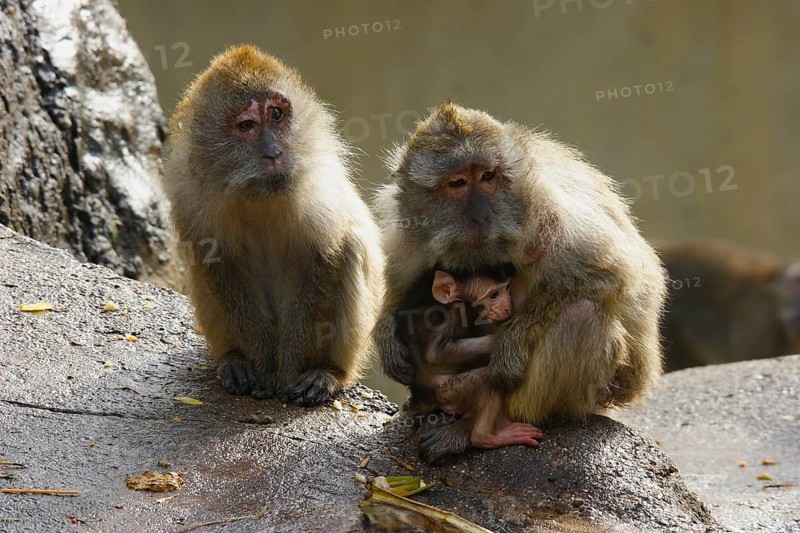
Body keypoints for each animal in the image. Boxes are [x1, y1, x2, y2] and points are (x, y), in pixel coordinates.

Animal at [162, 45, 384, 406]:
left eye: (277, 115)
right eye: (247, 124)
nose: (273, 152)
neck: (257, 194)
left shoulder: (316, 181)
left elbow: (322, 259)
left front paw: (288, 371)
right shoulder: (189, 191)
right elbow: (217, 263)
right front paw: (262, 368)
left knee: (352, 246)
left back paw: (330, 372)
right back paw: (234, 359)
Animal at [373, 101, 666, 459]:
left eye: (487, 177)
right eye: (458, 183)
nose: (480, 215)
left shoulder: (548, 213)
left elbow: (610, 274)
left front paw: (509, 345)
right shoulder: (409, 227)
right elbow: (401, 283)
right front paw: (385, 333)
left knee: (582, 315)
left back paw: (478, 426)